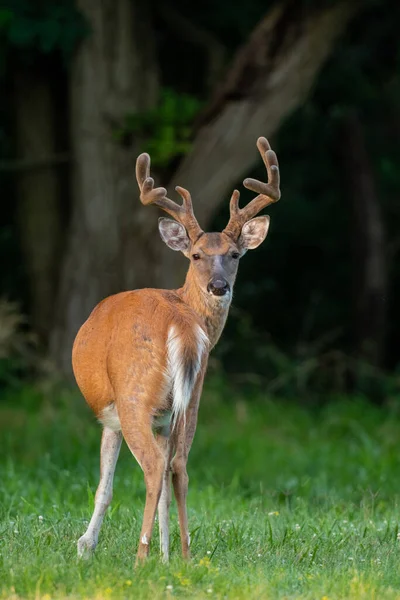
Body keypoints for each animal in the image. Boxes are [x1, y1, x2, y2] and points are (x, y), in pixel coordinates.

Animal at [73, 135, 280, 564]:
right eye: (197, 255)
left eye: (235, 255)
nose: (219, 286)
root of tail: (181, 324)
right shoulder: (170, 415)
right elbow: (168, 484)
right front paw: (166, 555)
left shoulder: (111, 416)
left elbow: (105, 485)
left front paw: (86, 546)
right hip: (193, 395)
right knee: (179, 466)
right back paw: (183, 556)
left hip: (134, 394)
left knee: (154, 468)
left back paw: (140, 557)